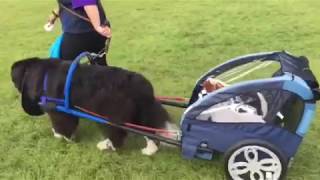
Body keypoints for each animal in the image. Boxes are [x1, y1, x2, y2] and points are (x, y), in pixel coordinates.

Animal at [11, 57, 175, 155]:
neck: (43, 75)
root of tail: (141, 84)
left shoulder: (59, 111)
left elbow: (61, 125)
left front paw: (61, 136)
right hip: (138, 112)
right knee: (147, 130)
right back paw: (150, 149)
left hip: (111, 112)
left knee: (117, 133)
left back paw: (106, 146)